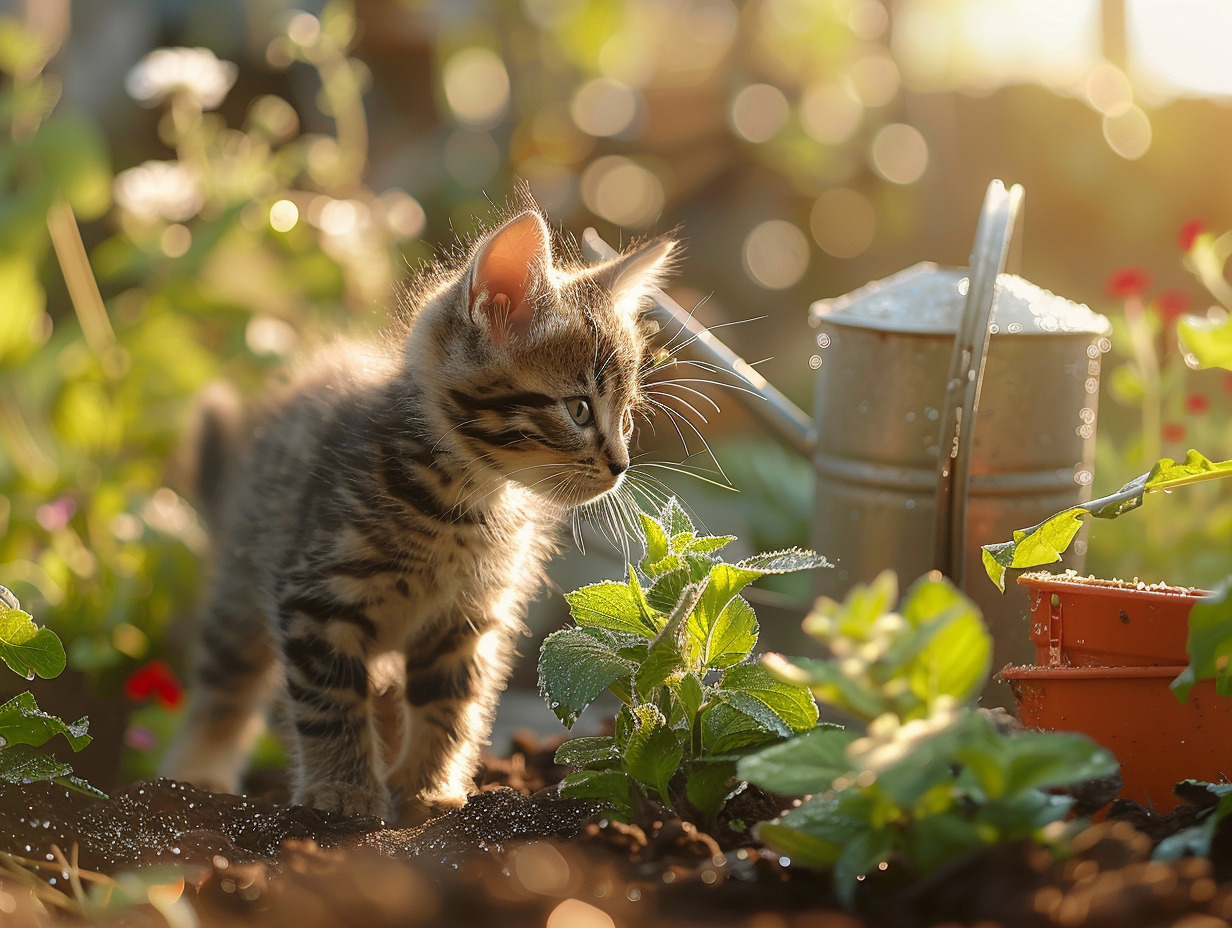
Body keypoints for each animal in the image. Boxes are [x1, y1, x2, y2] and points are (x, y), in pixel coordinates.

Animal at [162, 200, 675, 818]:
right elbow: (332, 699)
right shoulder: (316, 598)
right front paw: (344, 790)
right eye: (578, 410)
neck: (460, 504)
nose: (621, 465)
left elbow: (450, 700)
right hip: (243, 579)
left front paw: (427, 789)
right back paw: (198, 771)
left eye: (627, 416)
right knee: (226, 682)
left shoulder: (468, 614)